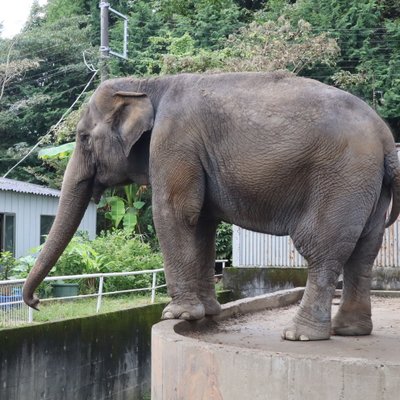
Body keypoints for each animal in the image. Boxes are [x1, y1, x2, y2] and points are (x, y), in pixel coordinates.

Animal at [22, 72, 400, 340]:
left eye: (83, 138)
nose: (37, 303)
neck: (149, 84)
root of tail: (385, 138)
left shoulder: (174, 143)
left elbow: (175, 213)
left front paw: (176, 315)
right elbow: (202, 221)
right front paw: (208, 313)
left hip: (340, 178)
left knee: (322, 251)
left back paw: (300, 335)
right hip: (367, 186)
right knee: (364, 252)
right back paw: (349, 331)